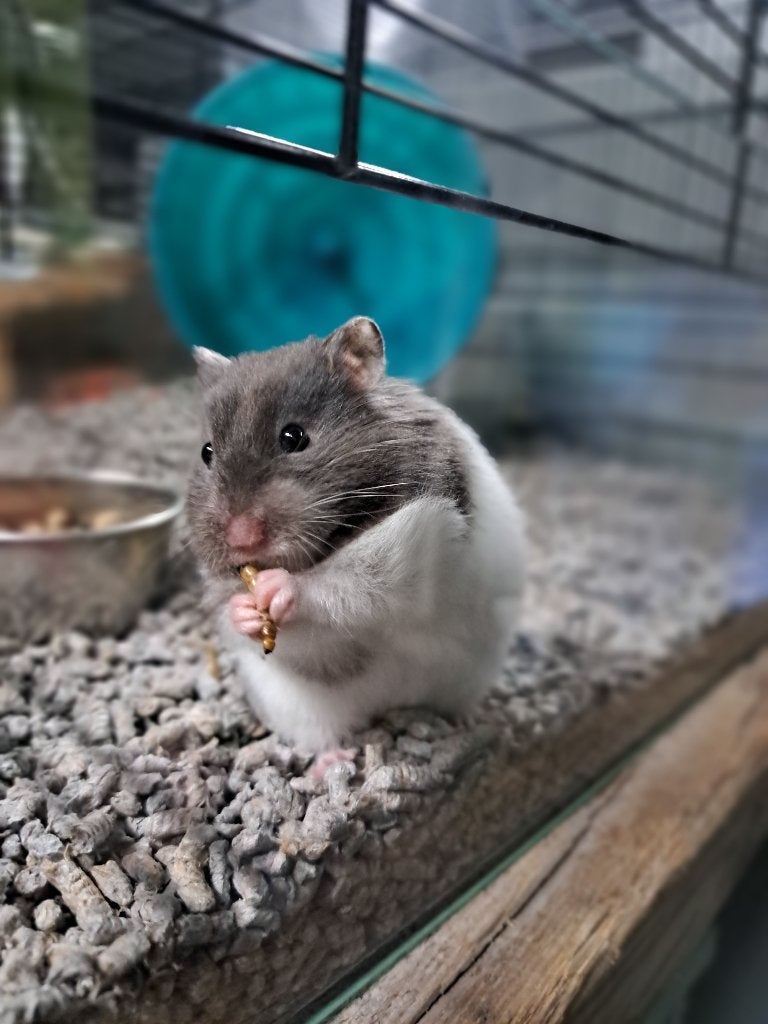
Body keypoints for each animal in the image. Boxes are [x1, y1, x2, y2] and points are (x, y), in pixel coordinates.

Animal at [187, 317, 525, 764]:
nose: (241, 539)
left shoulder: (412, 554)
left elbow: (345, 584)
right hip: (295, 706)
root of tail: (393, 703)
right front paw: (242, 610)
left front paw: (278, 587)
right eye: (207, 452)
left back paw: (472, 723)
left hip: (474, 672)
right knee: (321, 738)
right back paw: (334, 763)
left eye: (294, 437)